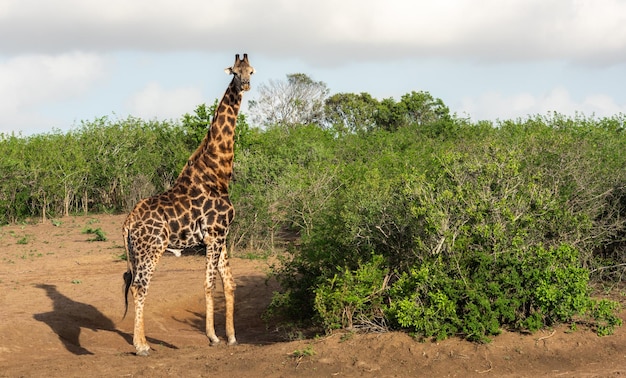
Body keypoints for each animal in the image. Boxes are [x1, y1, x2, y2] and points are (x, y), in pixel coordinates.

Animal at [122, 54, 254, 358]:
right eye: (234, 72)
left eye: (251, 71)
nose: (246, 84)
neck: (218, 173)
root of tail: (128, 223)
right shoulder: (213, 235)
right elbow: (209, 283)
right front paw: (213, 337)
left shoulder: (222, 235)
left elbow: (229, 283)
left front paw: (232, 337)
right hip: (152, 249)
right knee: (139, 287)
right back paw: (141, 346)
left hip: (136, 252)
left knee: (133, 285)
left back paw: (142, 341)